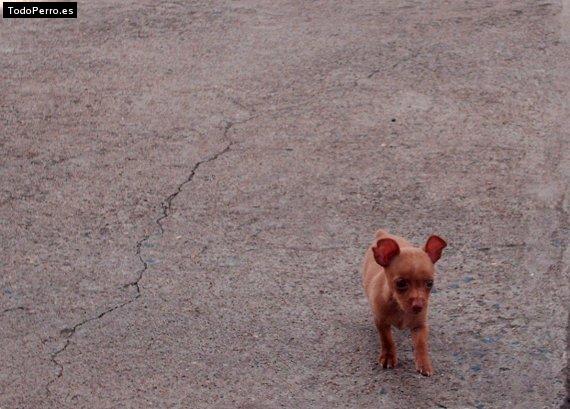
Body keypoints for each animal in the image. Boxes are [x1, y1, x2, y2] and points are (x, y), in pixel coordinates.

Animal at [362, 228, 446, 374]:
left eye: (430, 283)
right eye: (401, 283)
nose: (419, 305)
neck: (400, 307)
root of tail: (383, 233)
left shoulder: (420, 326)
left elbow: (421, 343)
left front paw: (424, 363)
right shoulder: (381, 322)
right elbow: (387, 340)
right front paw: (388, 356)